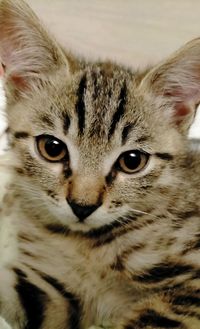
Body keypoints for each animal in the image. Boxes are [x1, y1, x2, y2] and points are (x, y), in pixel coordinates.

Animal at [1, 0, 200, 328]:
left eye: (132, 161)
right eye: (52, 148)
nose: (82, 206)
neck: (84, 244)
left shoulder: (189, 290)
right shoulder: (50, 289)